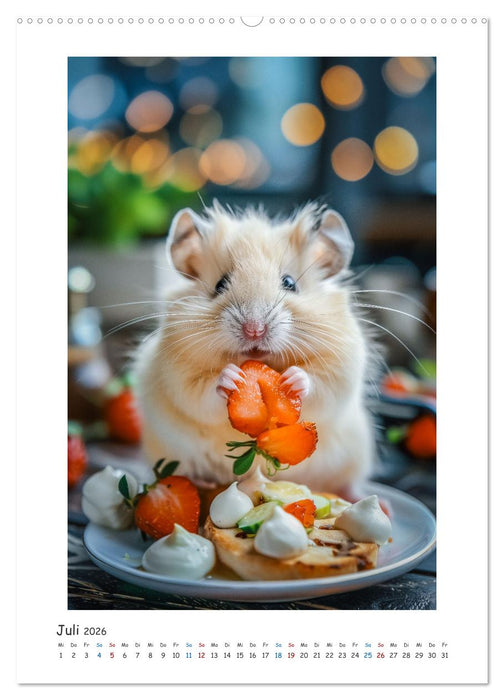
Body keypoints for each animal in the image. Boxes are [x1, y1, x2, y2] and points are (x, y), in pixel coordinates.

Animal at [134, 201, 374, 494]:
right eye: (220, 284)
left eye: (290, 283)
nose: (254, 329)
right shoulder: (177, 371)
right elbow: (200, 392)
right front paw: (232, 379)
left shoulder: (343, 363)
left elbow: (323, 384)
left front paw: (292, 380)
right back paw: (201, 480)